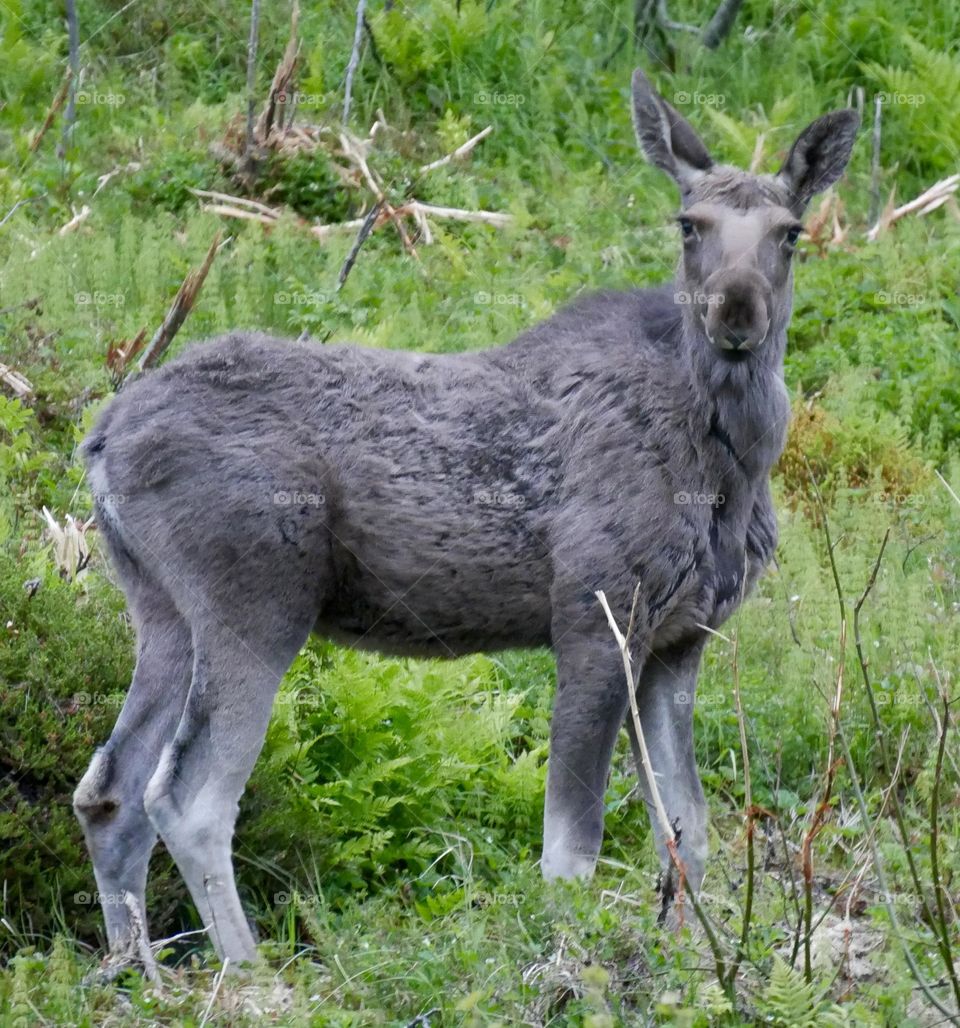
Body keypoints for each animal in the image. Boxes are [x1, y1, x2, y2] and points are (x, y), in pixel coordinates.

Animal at [73, 70, 855, 962]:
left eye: (790, 233)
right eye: (691, 225)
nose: (735, 311)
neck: (732, 465)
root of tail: (100, 440)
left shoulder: (679, 640)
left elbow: (688, 831)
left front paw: (690, 961)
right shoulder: (595, 622)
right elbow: (571, 851)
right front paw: (568, 964)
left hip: (163, 613)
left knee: (109, 791)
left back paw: (138, 971)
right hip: (257, 603)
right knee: (189, 798)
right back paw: (248, 971)